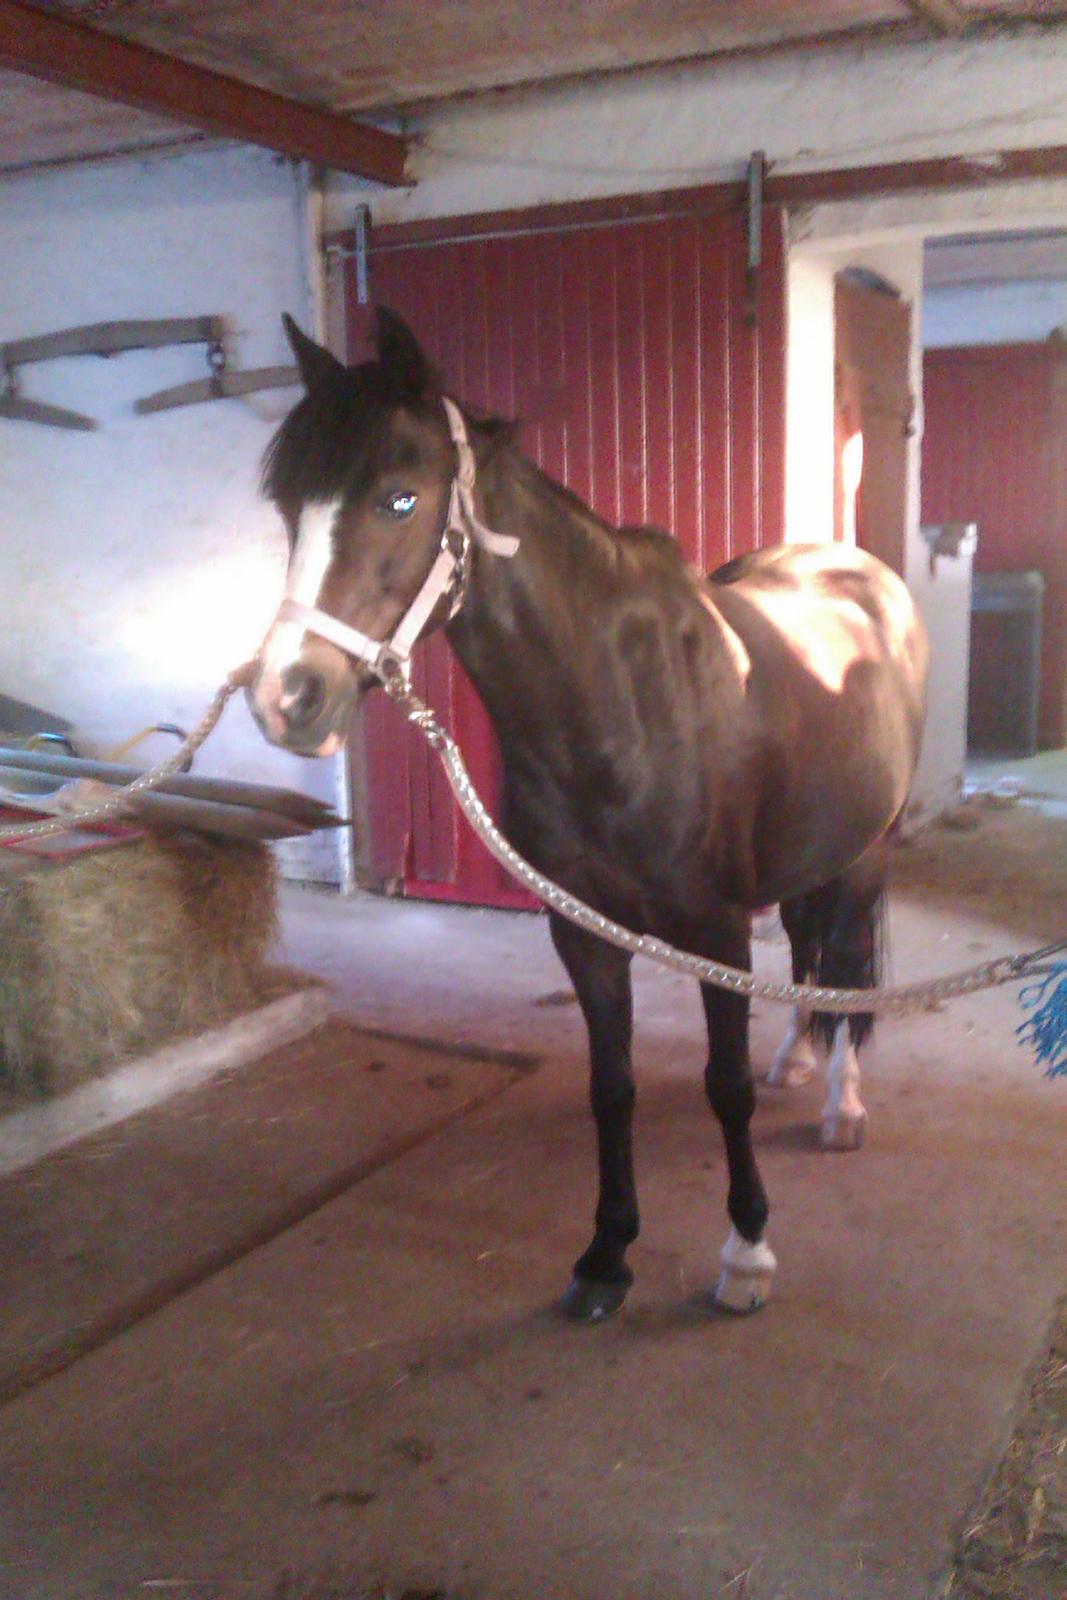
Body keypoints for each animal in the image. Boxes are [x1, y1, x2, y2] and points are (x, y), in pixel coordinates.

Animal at [248, 308, 928, 1319]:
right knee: (811, 952)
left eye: (400, 500)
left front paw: (746, 1251)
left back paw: (841, 1104)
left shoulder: (715, 930)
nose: (286, 698)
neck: (618, 703)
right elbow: (613, 1087)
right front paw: (607, 1254)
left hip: (866, 851)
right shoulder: (582, 933)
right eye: (289, 507)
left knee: (843, 961)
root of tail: (857, 571)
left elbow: (723, 1085)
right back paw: (798, 1061)